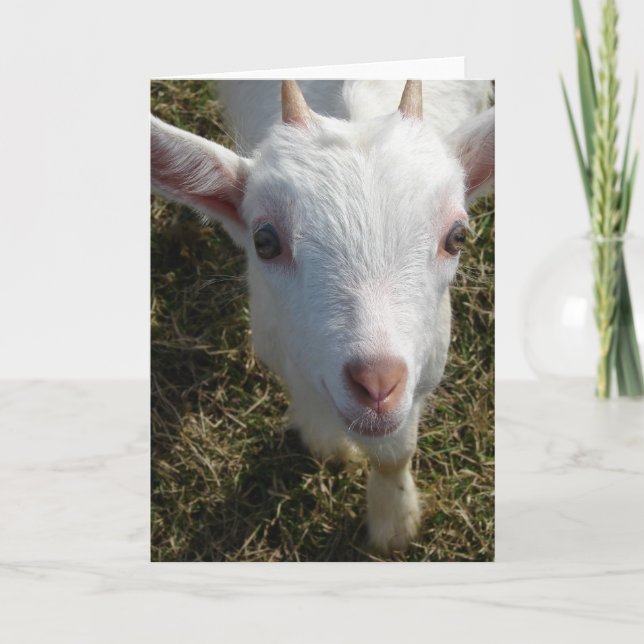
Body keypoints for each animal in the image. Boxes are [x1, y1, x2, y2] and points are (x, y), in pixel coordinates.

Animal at [151, 80, 494, 554]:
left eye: (457, 236)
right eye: (264, 241)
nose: (377, 384)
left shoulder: (425, 368)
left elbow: (395, 454)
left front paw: (394, 524)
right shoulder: (278, 342)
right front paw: (330, 447)